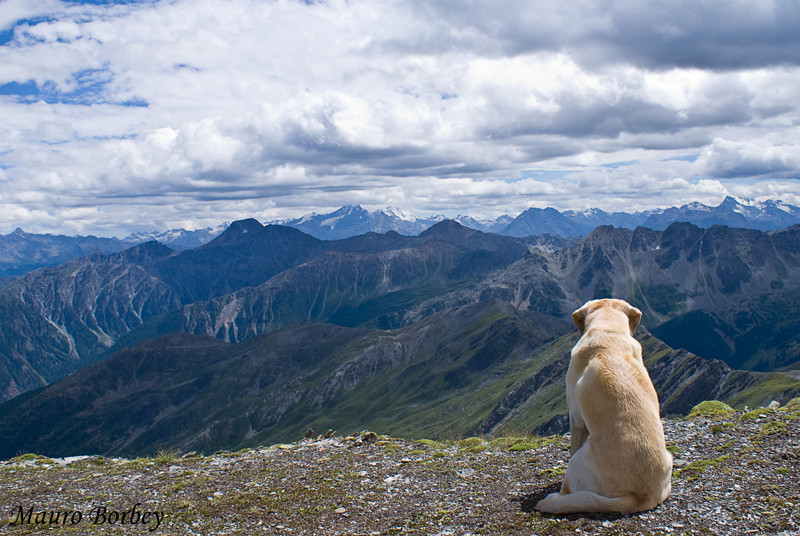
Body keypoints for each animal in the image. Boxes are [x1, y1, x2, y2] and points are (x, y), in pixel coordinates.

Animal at [536, 300, 668, 512]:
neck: (608, 329)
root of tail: (641, 497)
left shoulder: (576, 416)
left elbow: (573, 444)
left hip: (580, 460)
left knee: (568, 486)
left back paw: (555, 497)